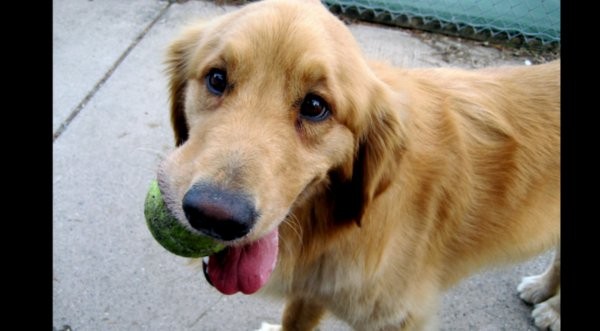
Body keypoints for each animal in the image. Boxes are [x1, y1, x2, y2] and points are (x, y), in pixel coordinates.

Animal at [157, 0, 560, 330]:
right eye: (217, 78)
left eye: (315, 106)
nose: (214, 215)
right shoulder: (313, 287)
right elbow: (293, 320)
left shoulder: (399, 318)